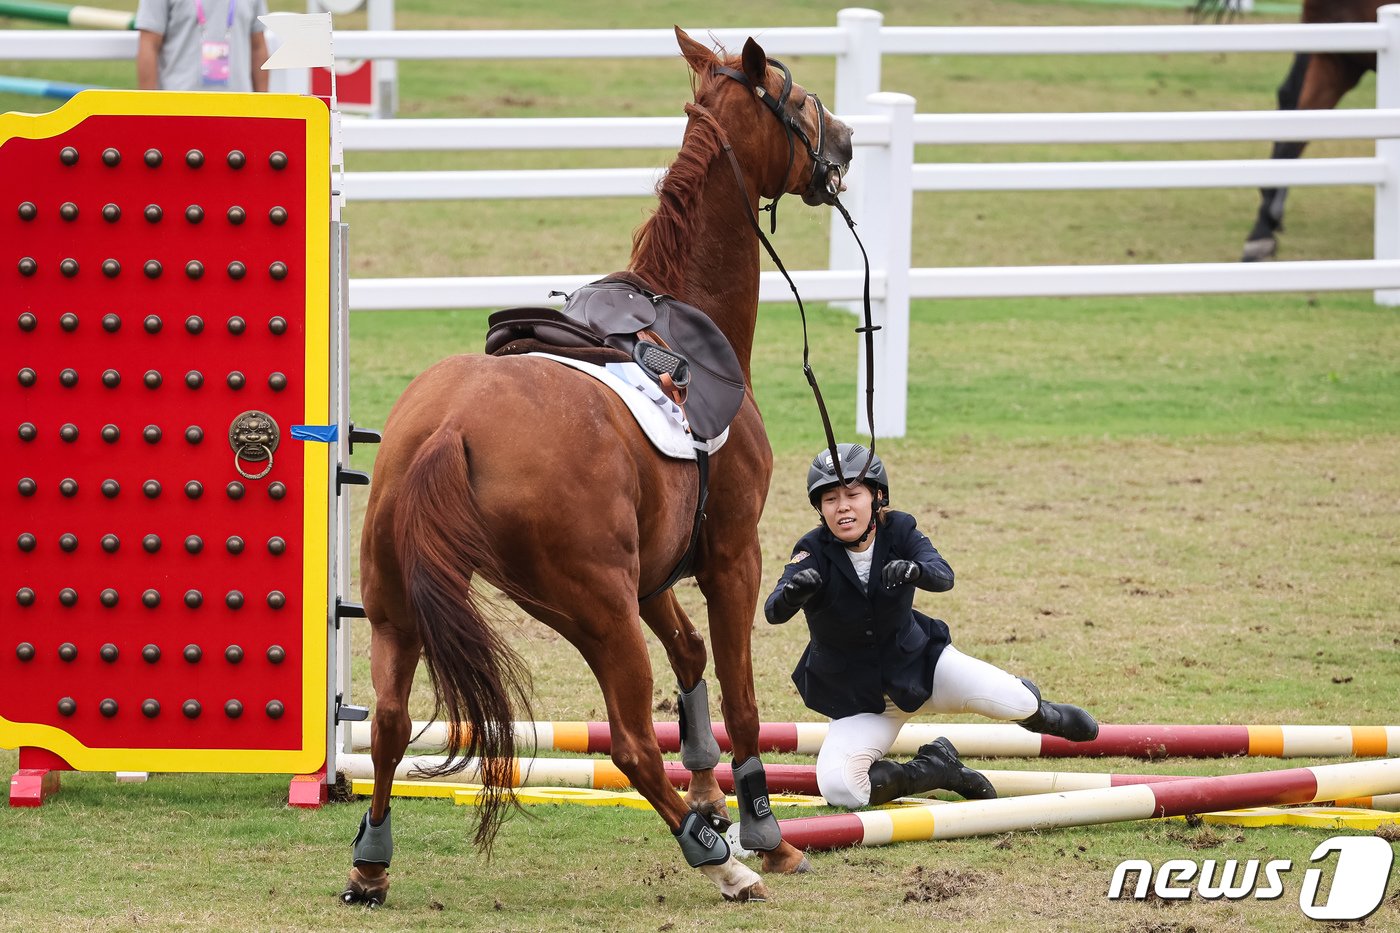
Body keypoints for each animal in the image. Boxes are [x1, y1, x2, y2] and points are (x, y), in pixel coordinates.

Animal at [341, 27, 851, 902]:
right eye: (796, 94)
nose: (845, 141)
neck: (687, 318)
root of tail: (450, 425)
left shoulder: (653, 571)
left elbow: (692, 657)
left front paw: (712, 791)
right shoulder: (732, 555)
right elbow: (742, 698)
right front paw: (758, 829)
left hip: (407, 605)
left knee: (388, 723)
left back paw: (372, 862)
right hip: (596, 609)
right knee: (629, 741)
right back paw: (719, 860)